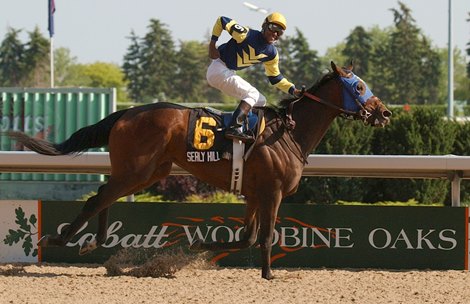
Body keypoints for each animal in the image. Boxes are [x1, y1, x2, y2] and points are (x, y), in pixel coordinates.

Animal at [3, 60, 392, 280]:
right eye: (359, 86)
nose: (384, 112)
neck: (288, 133)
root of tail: (126, 113)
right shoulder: (272, 192)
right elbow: (265, 236)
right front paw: (269, 274)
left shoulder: (253, 194)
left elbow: (246, 236)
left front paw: (196, 246)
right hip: (136, 171)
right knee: (96, 198)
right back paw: (59, 239)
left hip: (148, 173)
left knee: (103, 197)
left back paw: (94, 245)